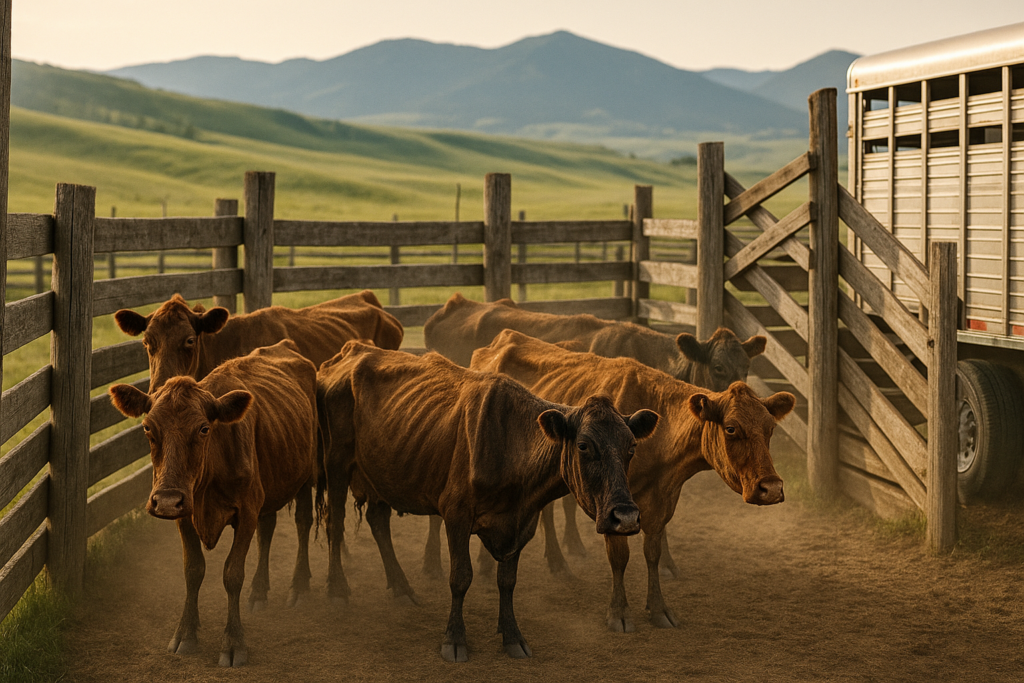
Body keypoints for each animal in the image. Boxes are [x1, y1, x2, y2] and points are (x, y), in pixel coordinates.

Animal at [109, 340, 318, 667]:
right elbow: (193, 570)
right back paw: (259, 591)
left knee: (303, 522)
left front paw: (233, 642)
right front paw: (186, 632)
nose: (165, 501)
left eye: (204, 428)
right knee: (268, 530)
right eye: (147, 428)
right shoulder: (185, 514)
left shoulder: (246, 512)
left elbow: (232, 574)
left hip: (308, 472)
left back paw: (298, 586)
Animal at [315, 341, 658, 661]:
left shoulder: (522, 523)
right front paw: (454, 639)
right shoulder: (456, 514)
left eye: (631, 447)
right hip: (336, 461)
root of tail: (352, 351)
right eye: (584, 446)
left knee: (378, 522)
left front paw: (512, 636)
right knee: (335, 521)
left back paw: (401, 587)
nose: (625, 517)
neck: (510, 445)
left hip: (383, 470)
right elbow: (460, 577)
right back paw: (337, 589)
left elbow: (507, 581)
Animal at [471, 330, 794, 633]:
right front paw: (620, 613)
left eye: (770, 428)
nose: (771, 488)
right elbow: (619, 557)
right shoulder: (614, 506)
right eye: (730, 428)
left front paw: (659, 608)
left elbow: (653, 553)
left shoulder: (662, 502)